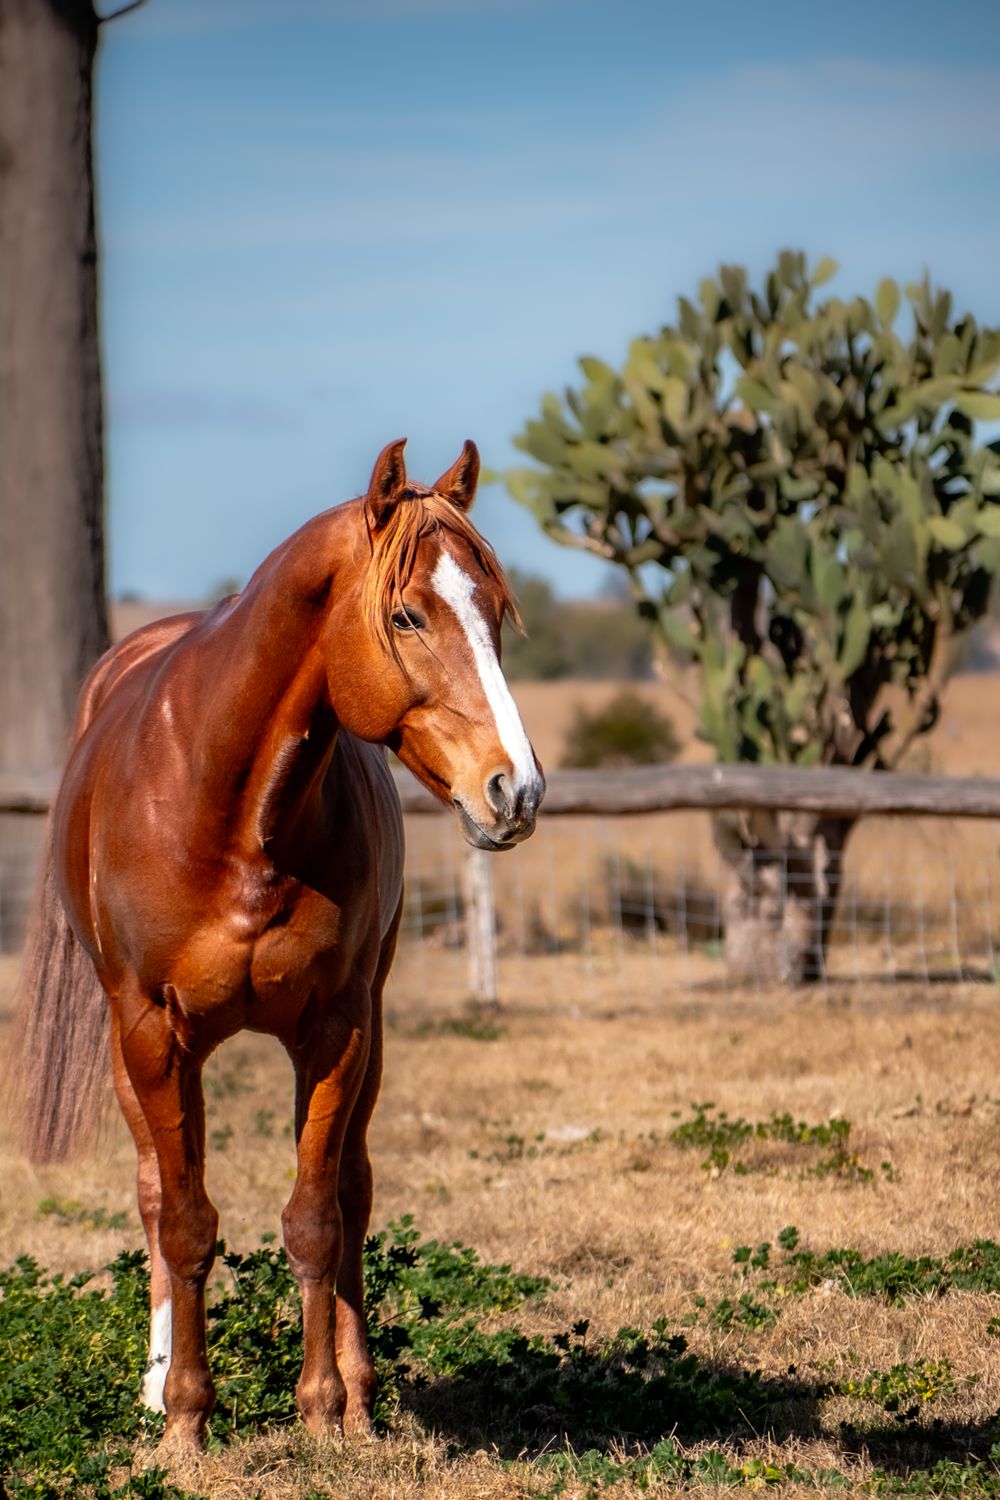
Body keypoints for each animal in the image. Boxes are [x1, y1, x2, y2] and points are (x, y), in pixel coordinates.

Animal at [12, 438, 544, 1449]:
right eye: (408, 614)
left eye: (496, 613)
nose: (517, 790)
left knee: (353, 1192)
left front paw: (325, 1410)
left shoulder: (334, 1029)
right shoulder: (151, 1032)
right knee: (156, 1193)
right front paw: (186, 1420)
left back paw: (363, 1393)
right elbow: (184, 1220)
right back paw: (156, 1385)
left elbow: (315, 1220)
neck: (231, 812)